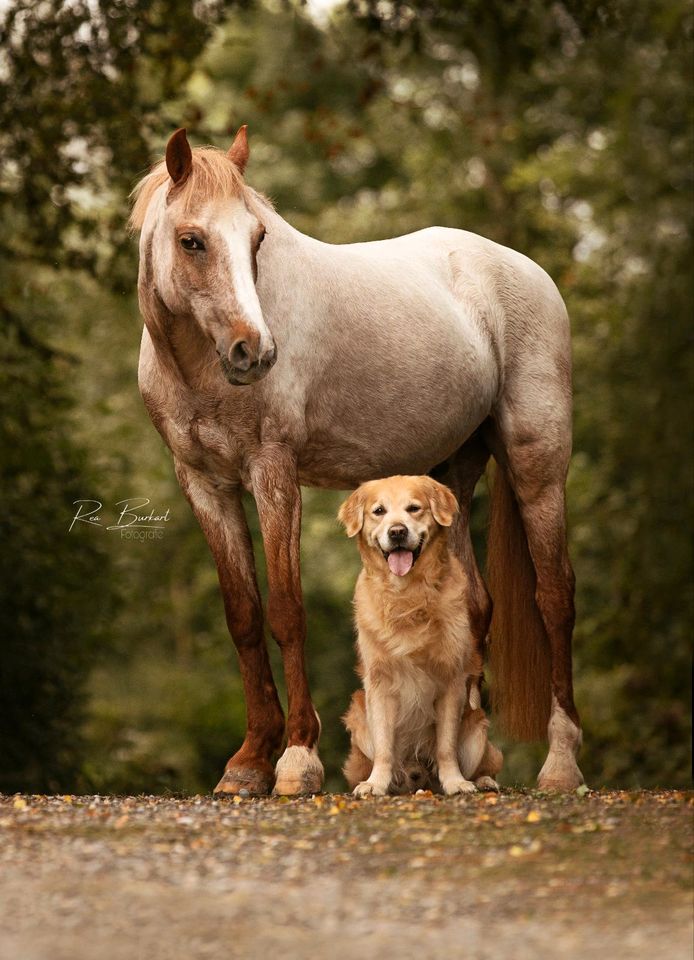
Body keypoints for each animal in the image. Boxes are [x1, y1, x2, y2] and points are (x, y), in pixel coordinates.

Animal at [340, 472, 502, 796]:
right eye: (379, 511)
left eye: (414, 508)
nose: (397, 532)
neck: (408, 596)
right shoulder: (379, 683)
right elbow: (384, 747)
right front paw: (375, 784)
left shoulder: (452, 680)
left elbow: (445, 747)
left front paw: (455, 782)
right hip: (359, 714)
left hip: (478, 727)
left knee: (482, 763)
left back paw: (482, 780)